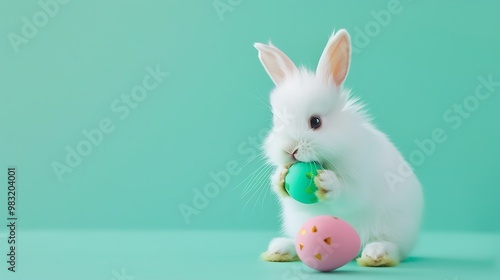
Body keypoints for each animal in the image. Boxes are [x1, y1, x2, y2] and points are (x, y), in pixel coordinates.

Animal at [256, 30, 424, 266]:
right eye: (276, 122)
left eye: (316, 122)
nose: (290, 150)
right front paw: (279, 178)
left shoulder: (360, 181)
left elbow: (350, 194)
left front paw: (327, 182)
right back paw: (280, 249)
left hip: (393, 229)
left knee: (393, 248)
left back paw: (376, 254)